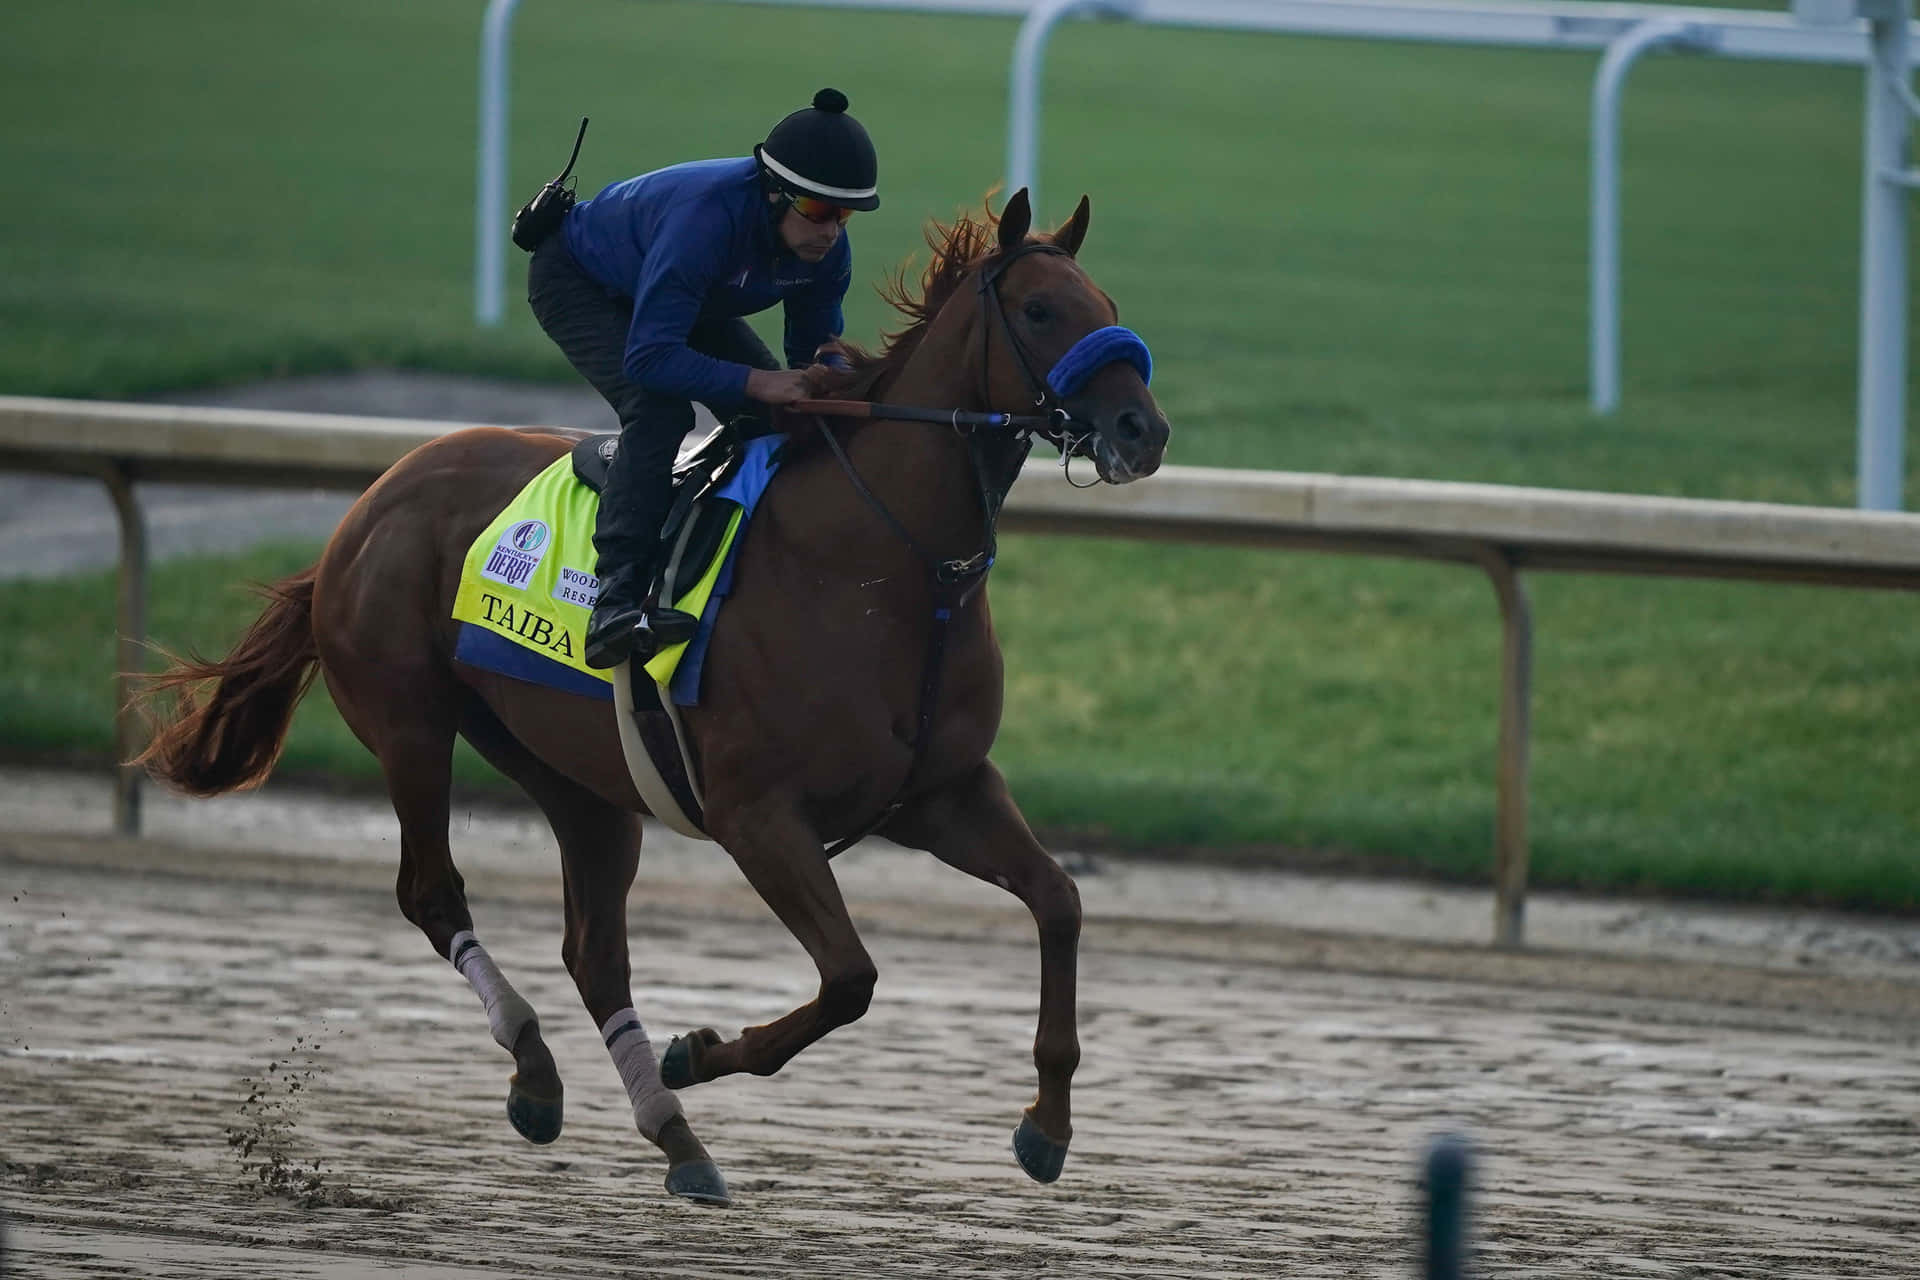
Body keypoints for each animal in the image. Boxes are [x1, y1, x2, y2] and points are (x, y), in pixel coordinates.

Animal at [135, 188, 1170, 1206]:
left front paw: (1047, 1127)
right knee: (432, 893)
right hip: (409, 724)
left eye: (1110, 304)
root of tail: (366, 505)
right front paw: (696, 1052)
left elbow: (1060, 902)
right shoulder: (760, 815)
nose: (1143, 431)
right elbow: (850, 978)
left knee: (594, 952)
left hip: (574, 775)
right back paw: (543, 1068)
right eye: (1039, 311)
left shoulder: (939, 793)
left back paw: (672, 1139)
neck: (886, 566)